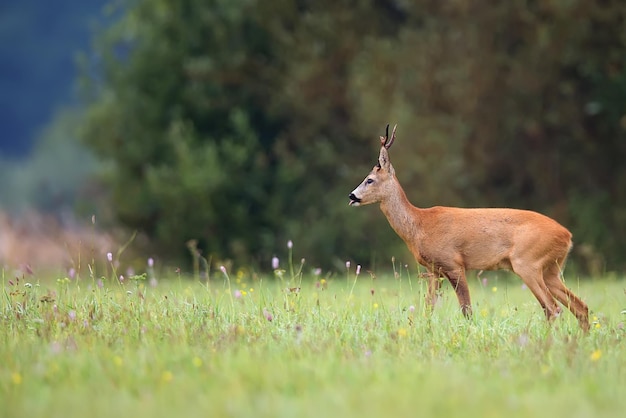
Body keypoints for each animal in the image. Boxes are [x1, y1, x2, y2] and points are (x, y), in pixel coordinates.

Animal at [348, 125, 588, 334]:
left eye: (369, 180)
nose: (352, 195)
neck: (419, 225)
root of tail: (567, 236)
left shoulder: (454, 264)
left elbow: (466, 310)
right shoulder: (435, 270)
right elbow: (428, 308)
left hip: (527, 263)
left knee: (553, 309)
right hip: (551, 270)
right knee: (580, 307)